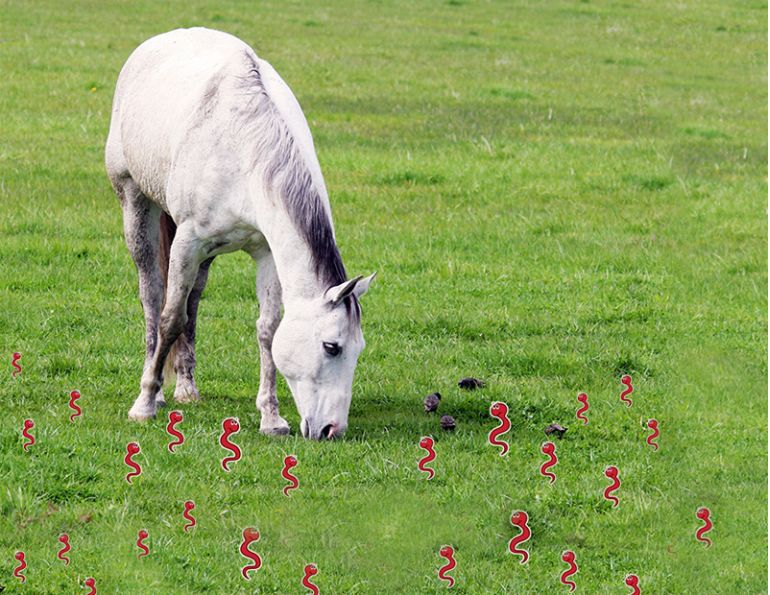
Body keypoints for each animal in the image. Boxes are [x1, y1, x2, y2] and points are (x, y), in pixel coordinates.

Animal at [105, 27, 375, 440]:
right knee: (152, 296)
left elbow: (267, 329)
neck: (243, 151)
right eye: (332, 347)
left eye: (357, 349)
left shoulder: (266, 252)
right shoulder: (187, 243)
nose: (332, 429)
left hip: (207, 255)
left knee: (194, 301)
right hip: (135, 202)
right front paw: (145, 403)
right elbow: (170, 319)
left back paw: (186, 386)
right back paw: (159, 390)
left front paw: (271, 417)